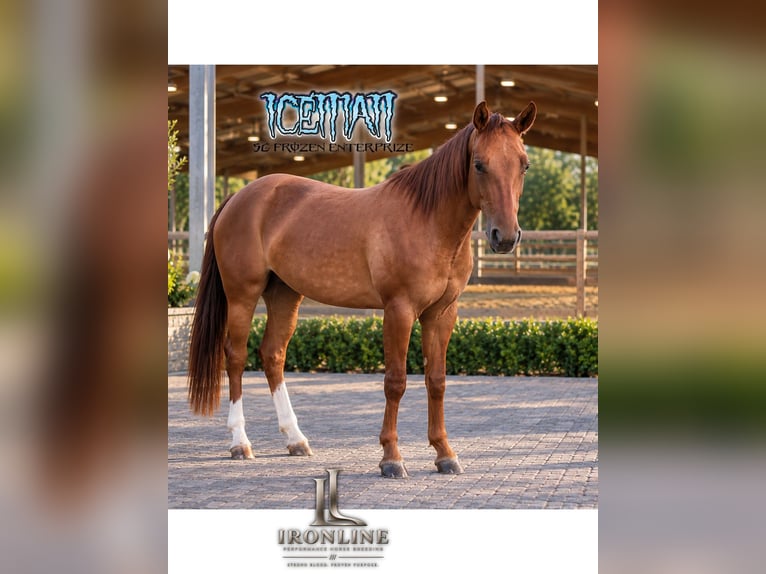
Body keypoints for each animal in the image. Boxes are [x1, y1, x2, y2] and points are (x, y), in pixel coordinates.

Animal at [187, 101, 536, 478]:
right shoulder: (398, 310)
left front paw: (445, 454)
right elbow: (396, 381)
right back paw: (240, 443)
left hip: (285, 295)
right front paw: (391, 458)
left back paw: (295, 439)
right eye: (479, 164)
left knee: (273, 356)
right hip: (242, 296)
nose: (505, 237)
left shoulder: (441, 314)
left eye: (524, 164)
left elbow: (437, 380)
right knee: (236, 357)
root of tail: (239, 196)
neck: (427, 221)